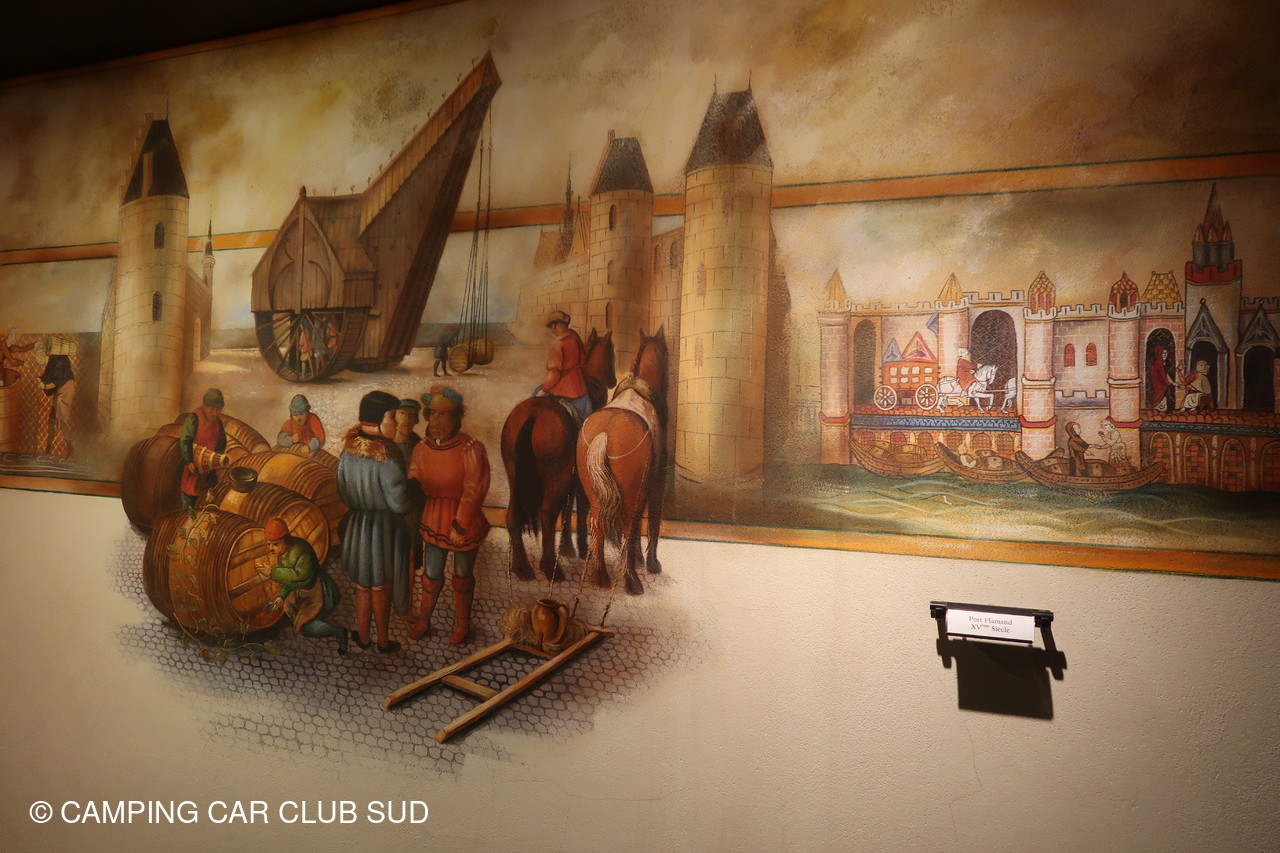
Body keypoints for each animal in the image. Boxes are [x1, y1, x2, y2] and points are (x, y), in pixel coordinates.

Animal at [501, 328, 616, 582]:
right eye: (612, 352)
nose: (613, 380)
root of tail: (533, 415)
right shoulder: (578, 477)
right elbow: (579, 509)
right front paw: (580, 548)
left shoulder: (570, 477)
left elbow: (568, 508)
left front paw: (567, 548)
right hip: (556, 476)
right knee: (546, 513)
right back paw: (549, 566)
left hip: (515, 474)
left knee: (513, 516)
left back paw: (522, 567)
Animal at [576, 327, 668, 596]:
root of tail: (605, 434)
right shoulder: (656, 483)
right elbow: (651, 522)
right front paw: (650, 563)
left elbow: (638, 527)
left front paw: (637, 558)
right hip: (630, 493)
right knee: (627, 526)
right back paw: (631, 582)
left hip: (595, 494)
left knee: (597, 525)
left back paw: (600, 577)